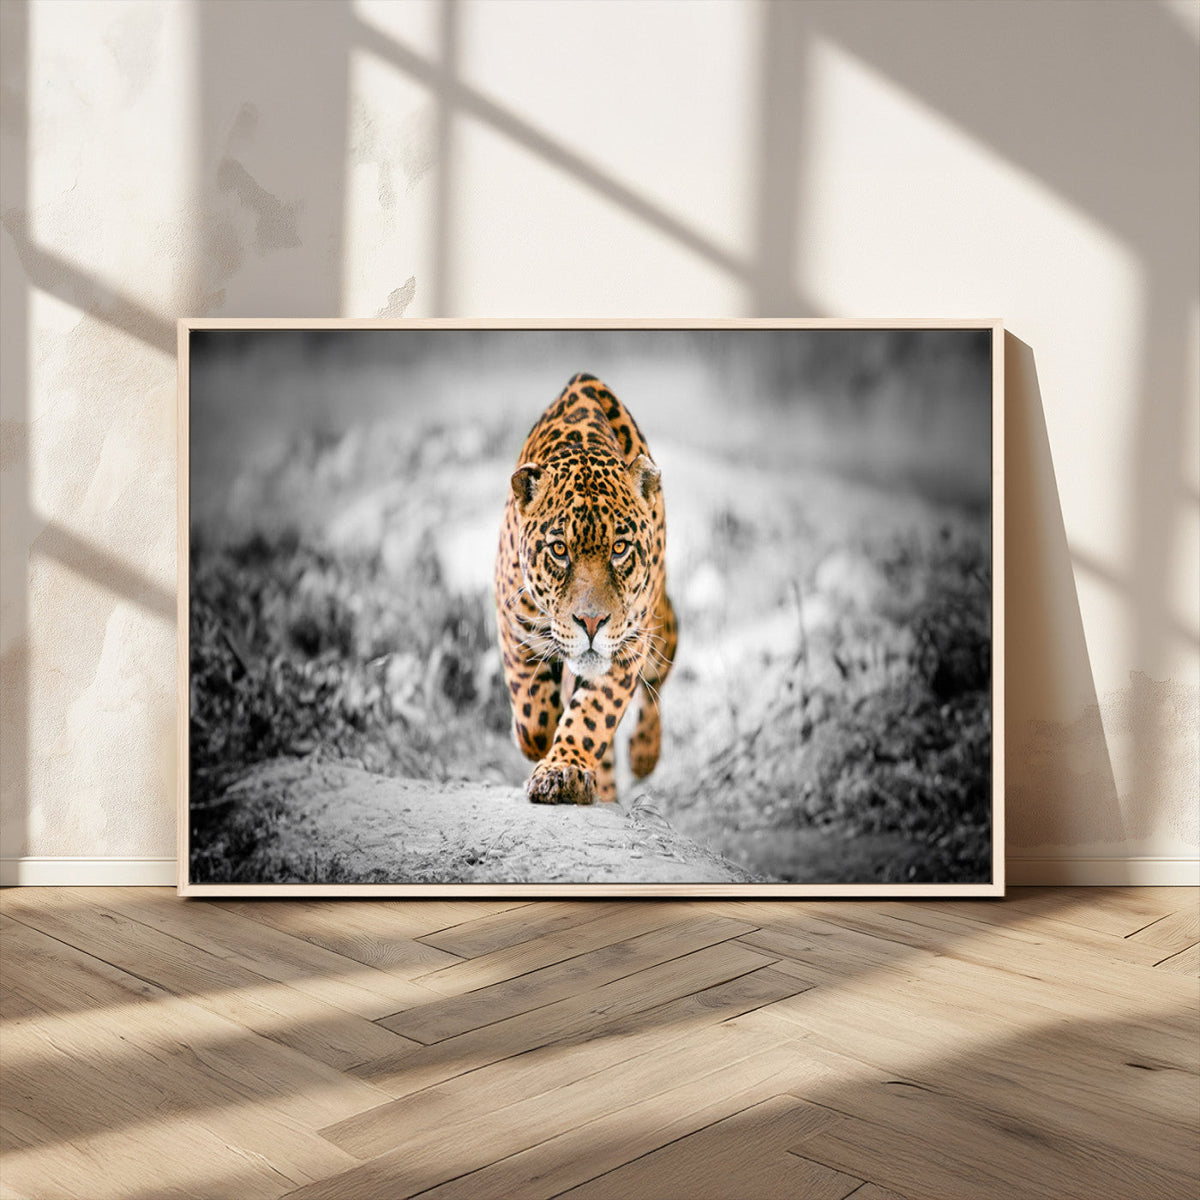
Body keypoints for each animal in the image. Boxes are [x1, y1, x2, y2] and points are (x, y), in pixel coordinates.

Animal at [493, 373, 678, 805]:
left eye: (620, 548)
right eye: (559, 550)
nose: (591, 623)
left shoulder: (628, 644)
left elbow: (592, 714)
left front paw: (563, 770)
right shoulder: (513, 622)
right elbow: (533, 712)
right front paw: (538, 744)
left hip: (661, 628)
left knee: (658, 680)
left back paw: (643, 755)